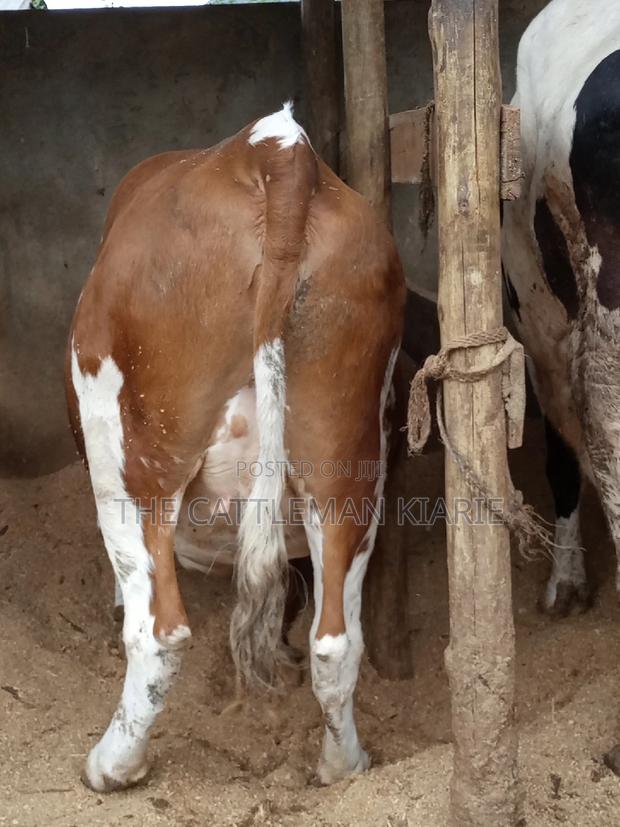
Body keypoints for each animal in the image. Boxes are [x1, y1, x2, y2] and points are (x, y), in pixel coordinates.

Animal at [65, 103, 405, 792]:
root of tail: (273, 147)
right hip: (346, 463)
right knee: (336, 640)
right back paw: (343, 764)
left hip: (134, 459)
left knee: (160, 632)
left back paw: (113, 765)